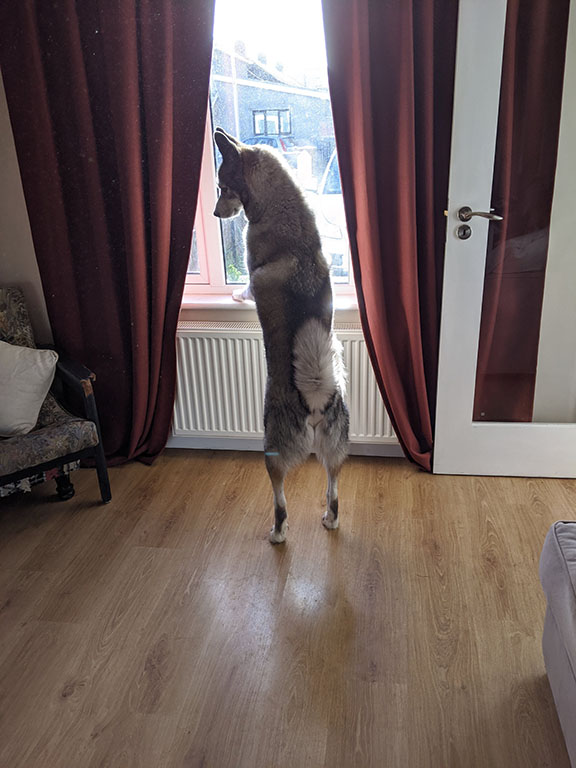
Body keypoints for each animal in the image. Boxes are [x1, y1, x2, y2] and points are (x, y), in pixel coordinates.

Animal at [212, 127, 346, 540]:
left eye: (223, 186)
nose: (214, 213)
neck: (279, 205)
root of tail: (315, 398)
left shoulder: (251, 269)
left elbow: (247, 284)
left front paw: (237, 294)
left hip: (270, 449)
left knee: (279, 495)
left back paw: (277, 531)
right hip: (335, 451)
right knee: (334, 488)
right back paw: (330, 518)